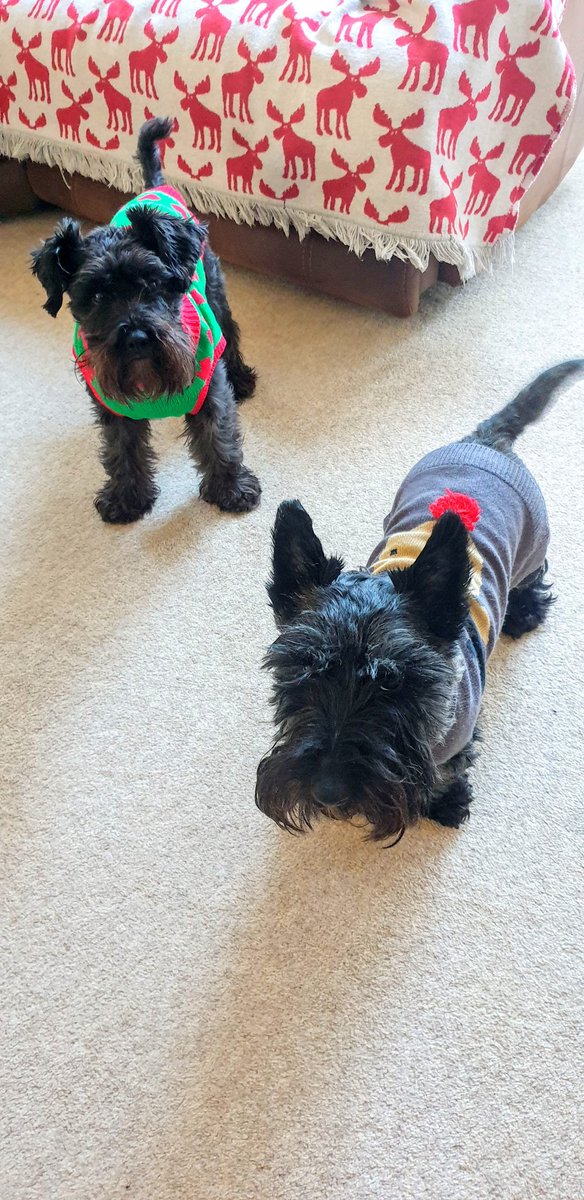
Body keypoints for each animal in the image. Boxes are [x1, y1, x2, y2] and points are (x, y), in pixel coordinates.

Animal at [31, 114, 260, 523]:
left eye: (152, 282)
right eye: (96, 296)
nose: (136, 338)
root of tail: (154, 189)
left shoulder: (210, 392)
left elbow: (219, 437)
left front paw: (232, 488)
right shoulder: (112, 408)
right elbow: (121, 450)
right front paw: (126, 498)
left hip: (217, 298)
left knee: (231, 336)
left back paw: (242, 379)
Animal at [256, 360, 584, 840]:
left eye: (392, 681)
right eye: (304, 670)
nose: (327, 792)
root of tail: (484, 440)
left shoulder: (459, 735)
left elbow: (448, 768)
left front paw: (447, 801)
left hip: (534, 542)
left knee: (534, 574)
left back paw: (525, 611)